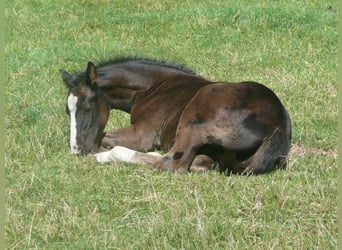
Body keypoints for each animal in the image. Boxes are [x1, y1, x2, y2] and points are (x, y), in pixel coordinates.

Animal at [61, 59, 292, 175]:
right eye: (67, 110)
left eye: (86, 106)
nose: (75, 150)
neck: (151, 87)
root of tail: (278, 126)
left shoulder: (142, 135)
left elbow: (105, 138)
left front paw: (98, 152)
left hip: (194, 120)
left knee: (174, 163)